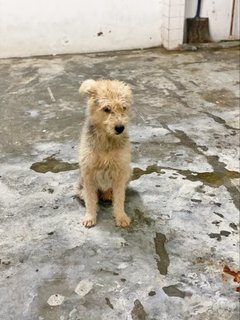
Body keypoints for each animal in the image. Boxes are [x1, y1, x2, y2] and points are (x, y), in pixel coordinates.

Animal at [78, 79, 132, 229]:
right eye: (106, 109)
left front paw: (121, 216)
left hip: (129, 171)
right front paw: (90, 217)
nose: (120, 128)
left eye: (123, 108)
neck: (107, 140)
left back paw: (108, 194)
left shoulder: (120, 171)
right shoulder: (88, 172)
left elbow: (119, 198)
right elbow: (90, 199)